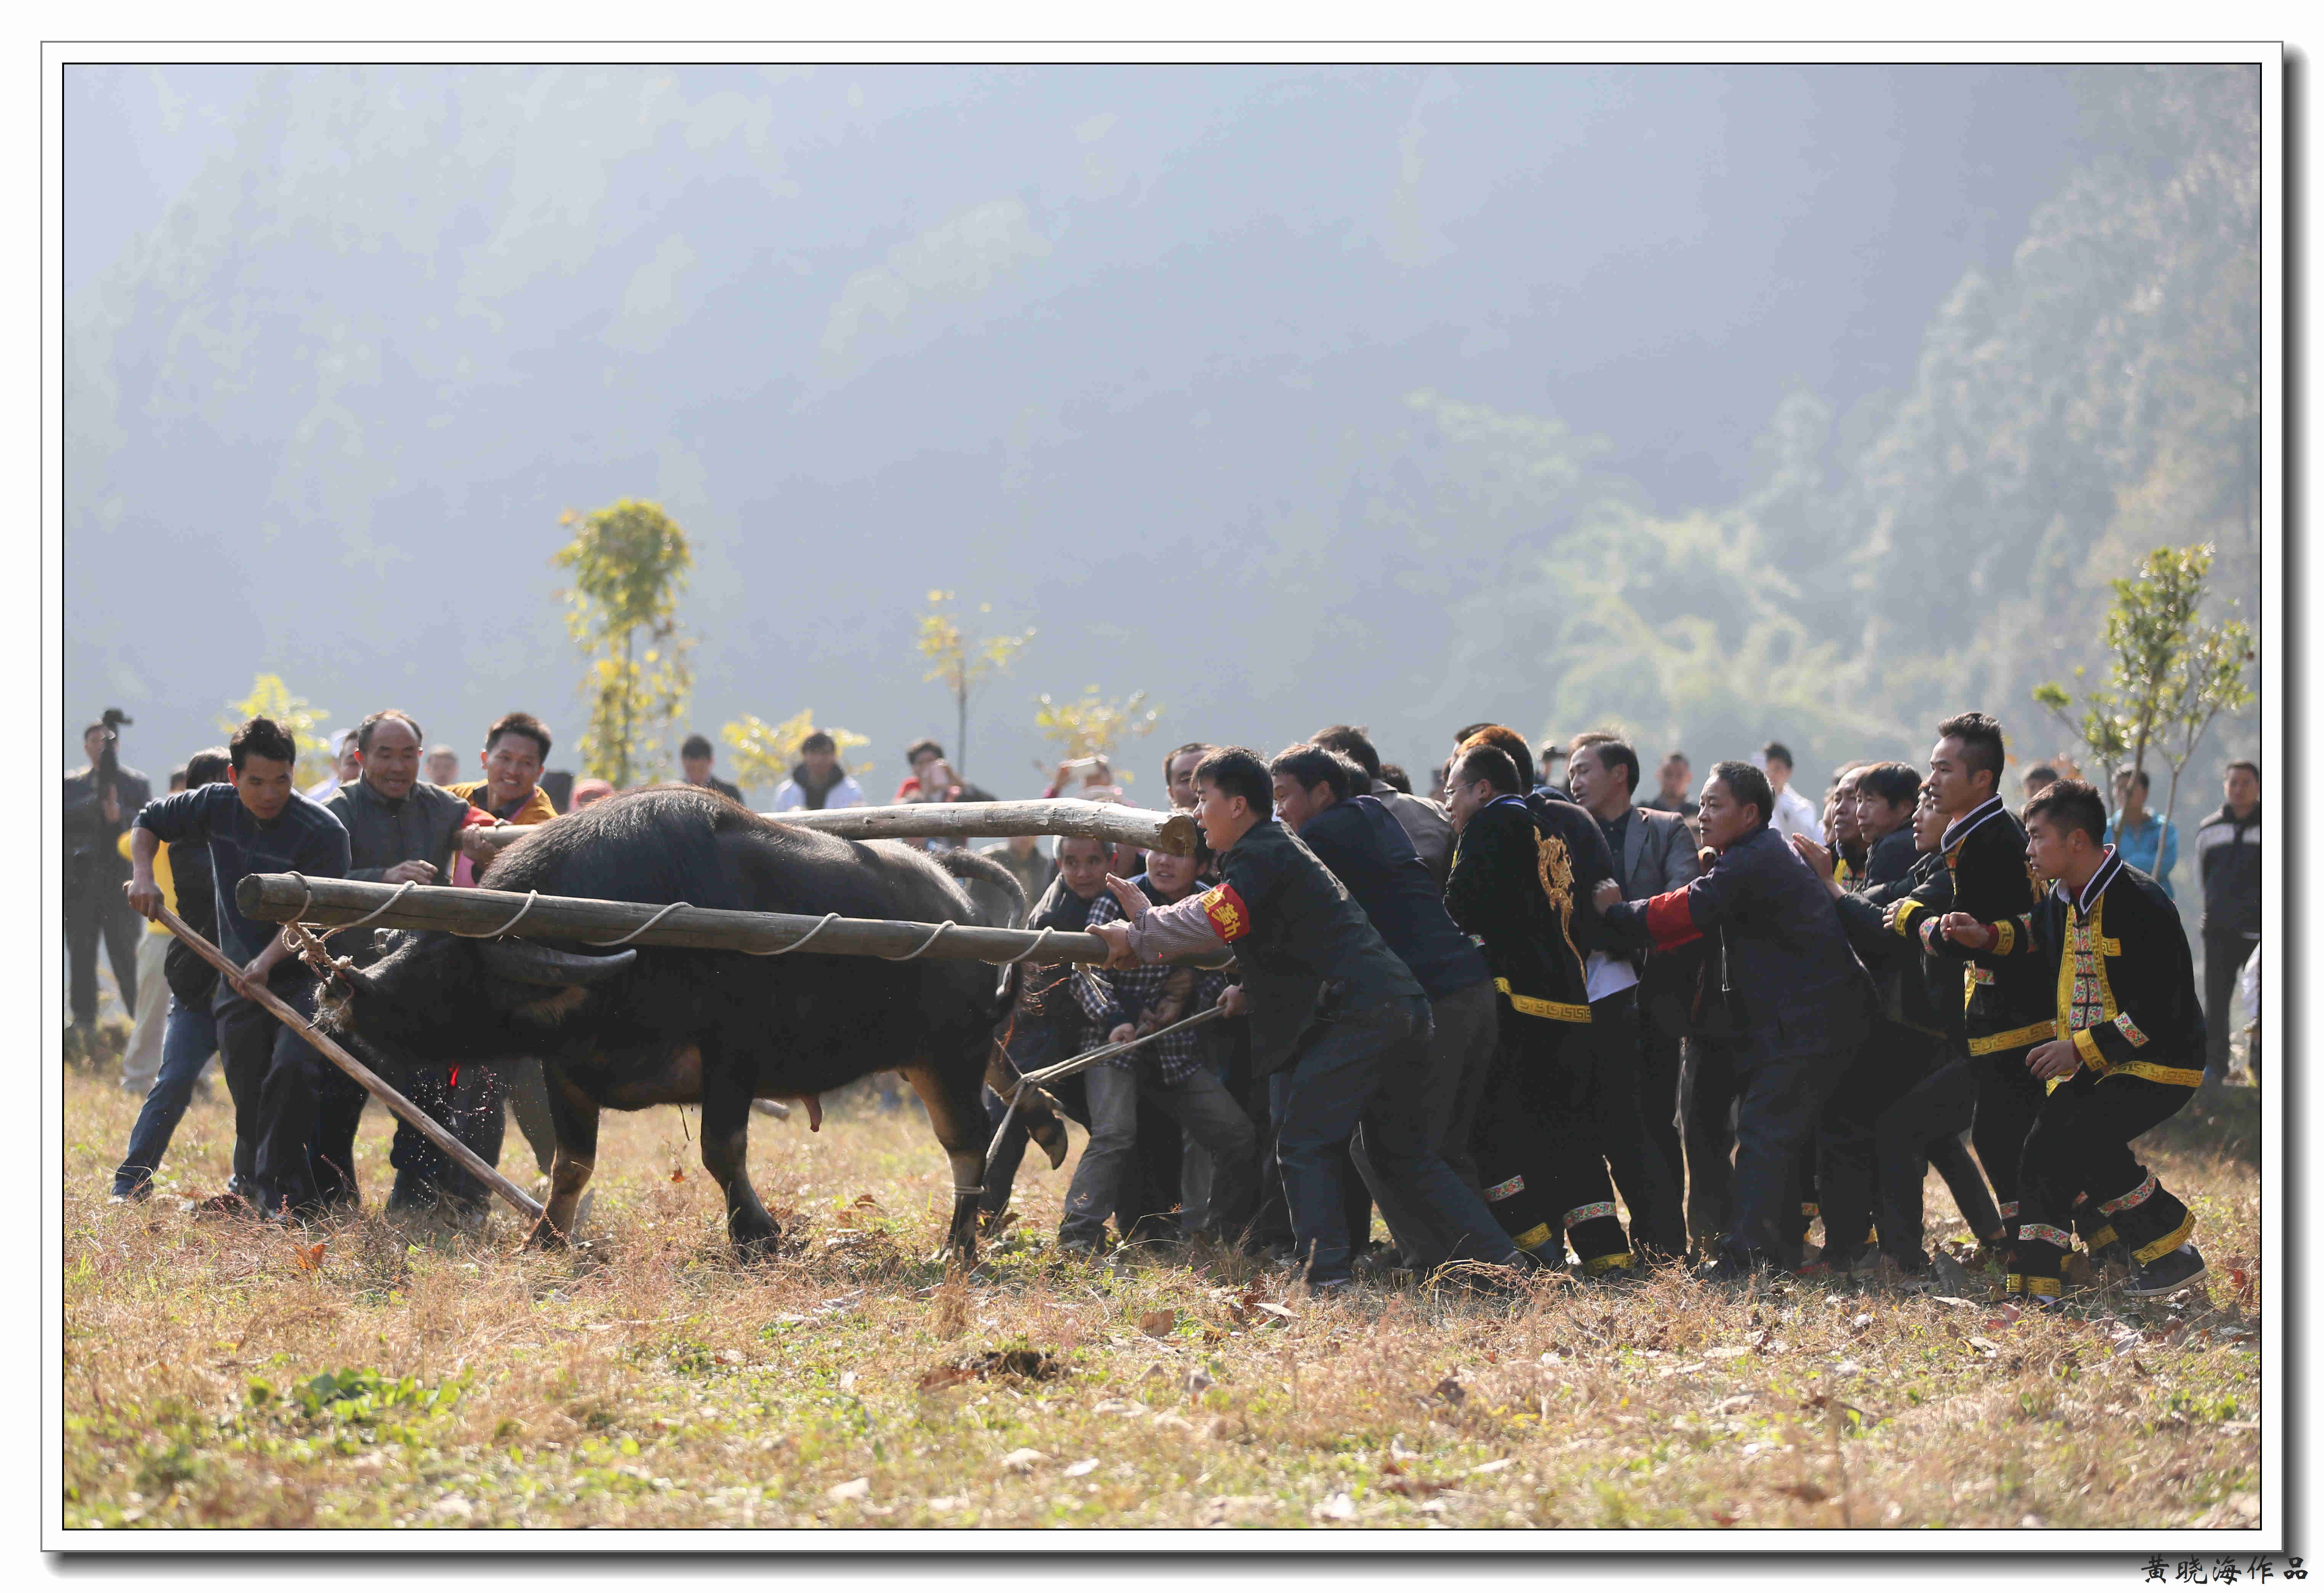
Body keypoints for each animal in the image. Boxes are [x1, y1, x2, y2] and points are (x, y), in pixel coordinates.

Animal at [313, 781, 1064, 1256]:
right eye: (415, 939)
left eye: (453, 964)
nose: (343, 984)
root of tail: (958, 905)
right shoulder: (568, 1071)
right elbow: (570, 1165)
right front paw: (544, 1239)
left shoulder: (733, 1060)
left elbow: (720, 1151)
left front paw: (757, 1234)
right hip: (937, 1051)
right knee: (1004, 1083)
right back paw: (1047, 1122)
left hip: (946, 1056)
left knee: (966, 1142)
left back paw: (957, 1245)